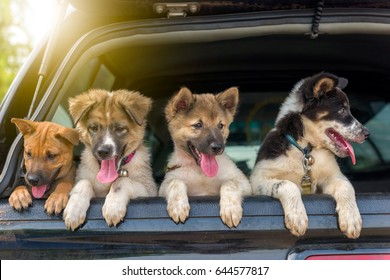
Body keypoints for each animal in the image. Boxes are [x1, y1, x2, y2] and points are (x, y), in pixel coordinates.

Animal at [64, 89, 157, 230]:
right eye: (94, 128)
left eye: (119, 129)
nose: (103, 151)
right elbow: (83, 183)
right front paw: (74, 210)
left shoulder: (149, 191)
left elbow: (121, 181)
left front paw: (113, 207)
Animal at [159, 87, 253, 228]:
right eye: (198, 125)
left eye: (220, 125)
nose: (218, 147)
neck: (201, 173)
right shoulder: (164, 185)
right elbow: (175, 182)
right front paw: (178, 205)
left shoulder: (244, 182)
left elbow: (229, 183)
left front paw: (230, 208)